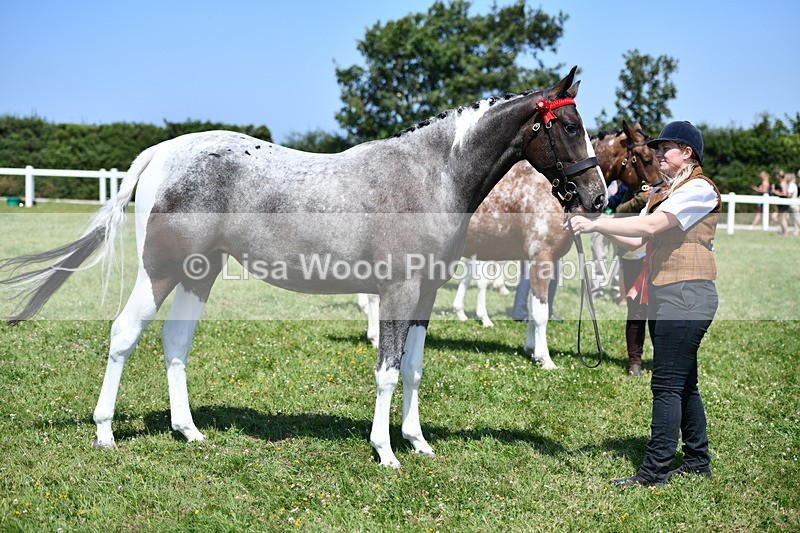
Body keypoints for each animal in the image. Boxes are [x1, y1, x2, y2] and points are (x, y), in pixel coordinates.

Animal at [0, 67, 606, 468]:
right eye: (569, 126)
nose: (597, 197)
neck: (431, 175)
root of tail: (162, 152)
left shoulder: (426, 294)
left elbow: (412, 369)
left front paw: (417, 441)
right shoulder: (398, 290)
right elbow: (386, 370)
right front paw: (386, 451)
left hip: (200, 272)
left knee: (174, 343)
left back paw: (188, 430)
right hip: (162, 270)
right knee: (125, 333)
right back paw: (105, 433)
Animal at [361, 121, 658, 369]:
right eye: (645, 159)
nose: (658, 190)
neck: (554, 191)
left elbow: (532, 306)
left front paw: (531, 348)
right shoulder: (542, 257)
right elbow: (539, 310)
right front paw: (545, 358)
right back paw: (375, 336)